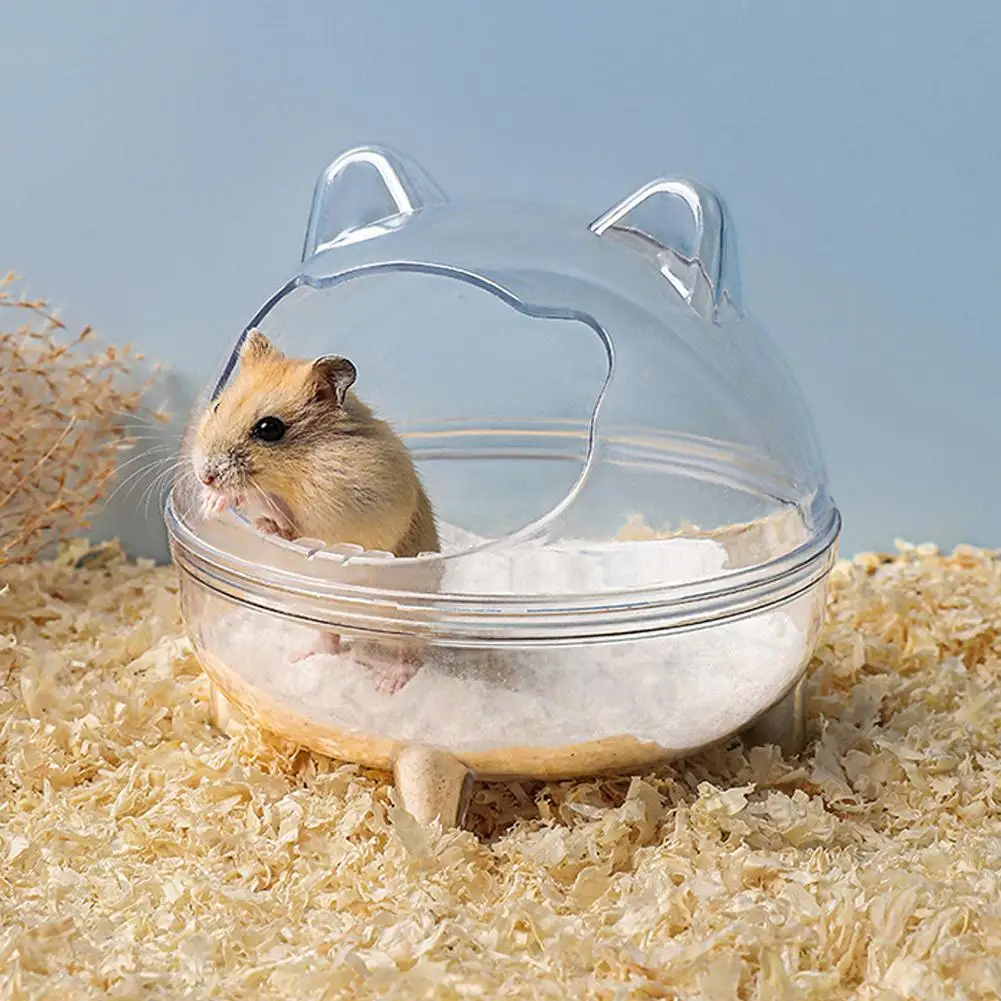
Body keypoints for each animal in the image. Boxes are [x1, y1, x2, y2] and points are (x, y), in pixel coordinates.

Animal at [192, 328, 440, 693]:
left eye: (269, 428)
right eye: (218, 405)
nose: (204, 475)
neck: (296, 467)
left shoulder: (344, 510)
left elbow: (287, 518)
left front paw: (269, 524)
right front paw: (212, 503)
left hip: (400, 623)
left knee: (410, 656)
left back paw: (387, 684)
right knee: (331, 640)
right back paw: (302, 657)